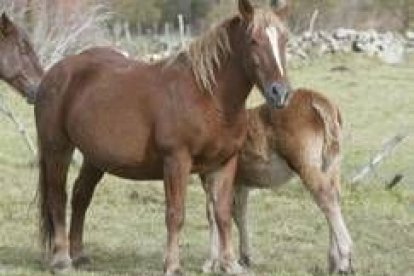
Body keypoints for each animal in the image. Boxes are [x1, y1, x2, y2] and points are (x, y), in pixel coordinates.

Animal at [35, 1, 292, 274]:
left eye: (284, 39)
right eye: (253, 40)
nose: (280, 93)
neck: (209, 97)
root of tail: (54, 73)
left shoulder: (224, 163)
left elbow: (223, 213)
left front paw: (230, 264)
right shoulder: (176, 161)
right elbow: (175, 214)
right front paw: (173, 265)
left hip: (95, 158)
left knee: (80, 195)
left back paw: (79, 254)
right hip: (57, 148)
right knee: (57, 198)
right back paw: (62, 260)